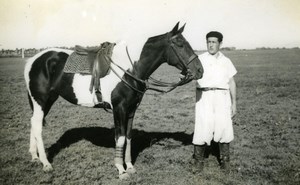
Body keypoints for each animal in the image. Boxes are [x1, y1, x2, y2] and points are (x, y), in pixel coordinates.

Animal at [24, 22, 204, 179]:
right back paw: (46, 163)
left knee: (33, 122)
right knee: (38, 127)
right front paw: (120, 169)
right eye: (180, 44)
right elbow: (120, 138)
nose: (200, 70)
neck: (130, 68)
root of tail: (32, 60)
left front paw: (129, 166)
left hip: (49, 100)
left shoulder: (131, 109)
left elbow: (128, 137)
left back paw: (34, 156)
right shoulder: (119, 109)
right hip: (40, 100)